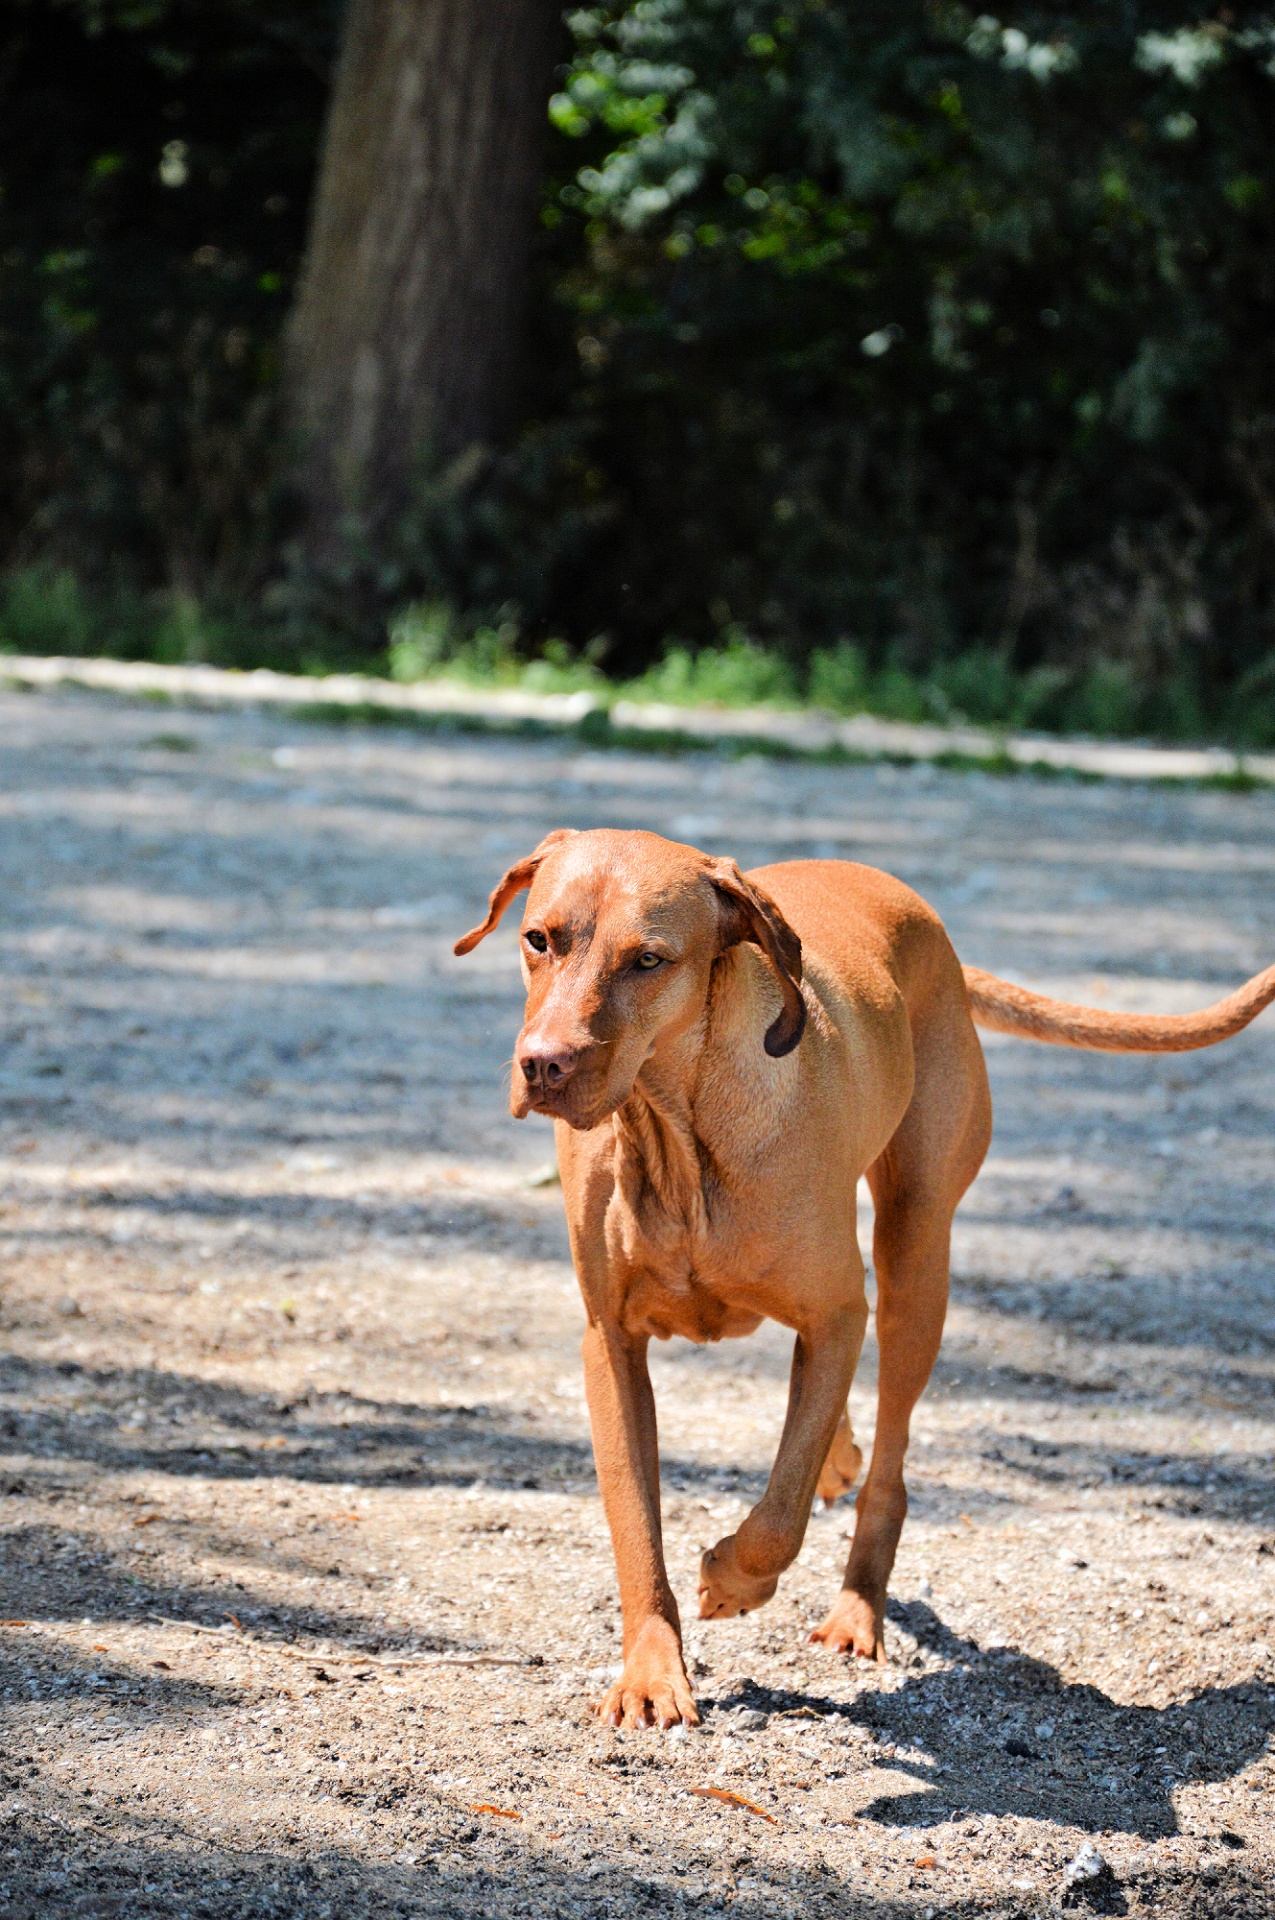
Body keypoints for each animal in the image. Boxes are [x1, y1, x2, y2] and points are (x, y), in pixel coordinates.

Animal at [455, 833, 1275, 1735]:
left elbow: (778, 1516)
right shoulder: (611, 1343)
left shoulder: (839, 1312)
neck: (678, 1126)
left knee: (886, 1465)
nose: (543, 1065)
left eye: (648, 960)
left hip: (914, 1260)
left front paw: (731, 1580)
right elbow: (636, 1522)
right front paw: (650, 1673)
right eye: (540, 939)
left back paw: (856, 1607)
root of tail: (931, 930)